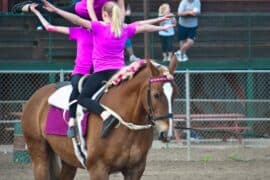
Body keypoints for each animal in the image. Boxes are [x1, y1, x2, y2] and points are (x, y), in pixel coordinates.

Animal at [21, 58, 177, 179]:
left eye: (175, 94)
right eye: (156, 95)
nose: (167, 132)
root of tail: (36, 96)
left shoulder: (135, 170)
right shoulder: (98, 169)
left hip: (67, 160)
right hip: (39, 156)